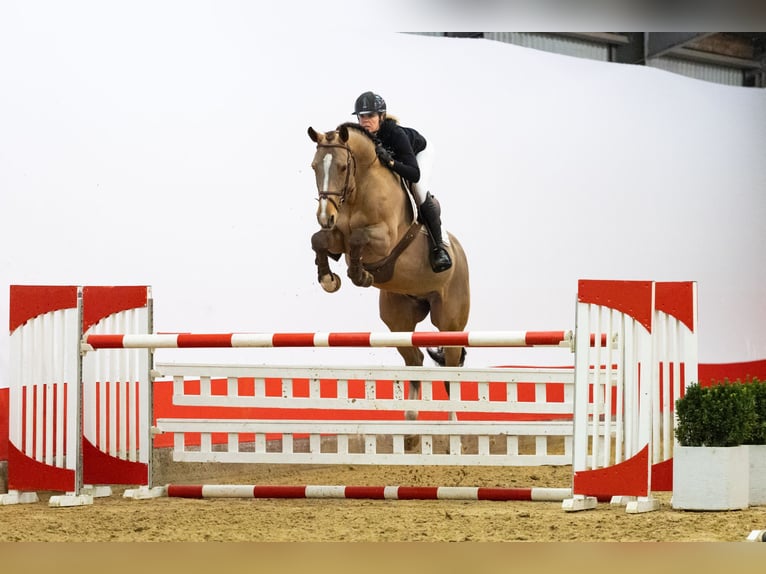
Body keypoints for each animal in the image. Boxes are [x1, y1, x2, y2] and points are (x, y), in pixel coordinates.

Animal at [307, 122, 471, 422]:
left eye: (342, 167)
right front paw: (328, 278)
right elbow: (319, 240)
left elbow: (358, 239)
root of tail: (458, 250)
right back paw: (411, 420)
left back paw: (453, 423)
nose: (325, 216)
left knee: (452, 368)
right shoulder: (336, 235)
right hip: (398, 321)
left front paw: (360, 275)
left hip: (450, 323)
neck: (358, 191)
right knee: (415, 360)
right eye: (314, 166)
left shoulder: (383, 240)